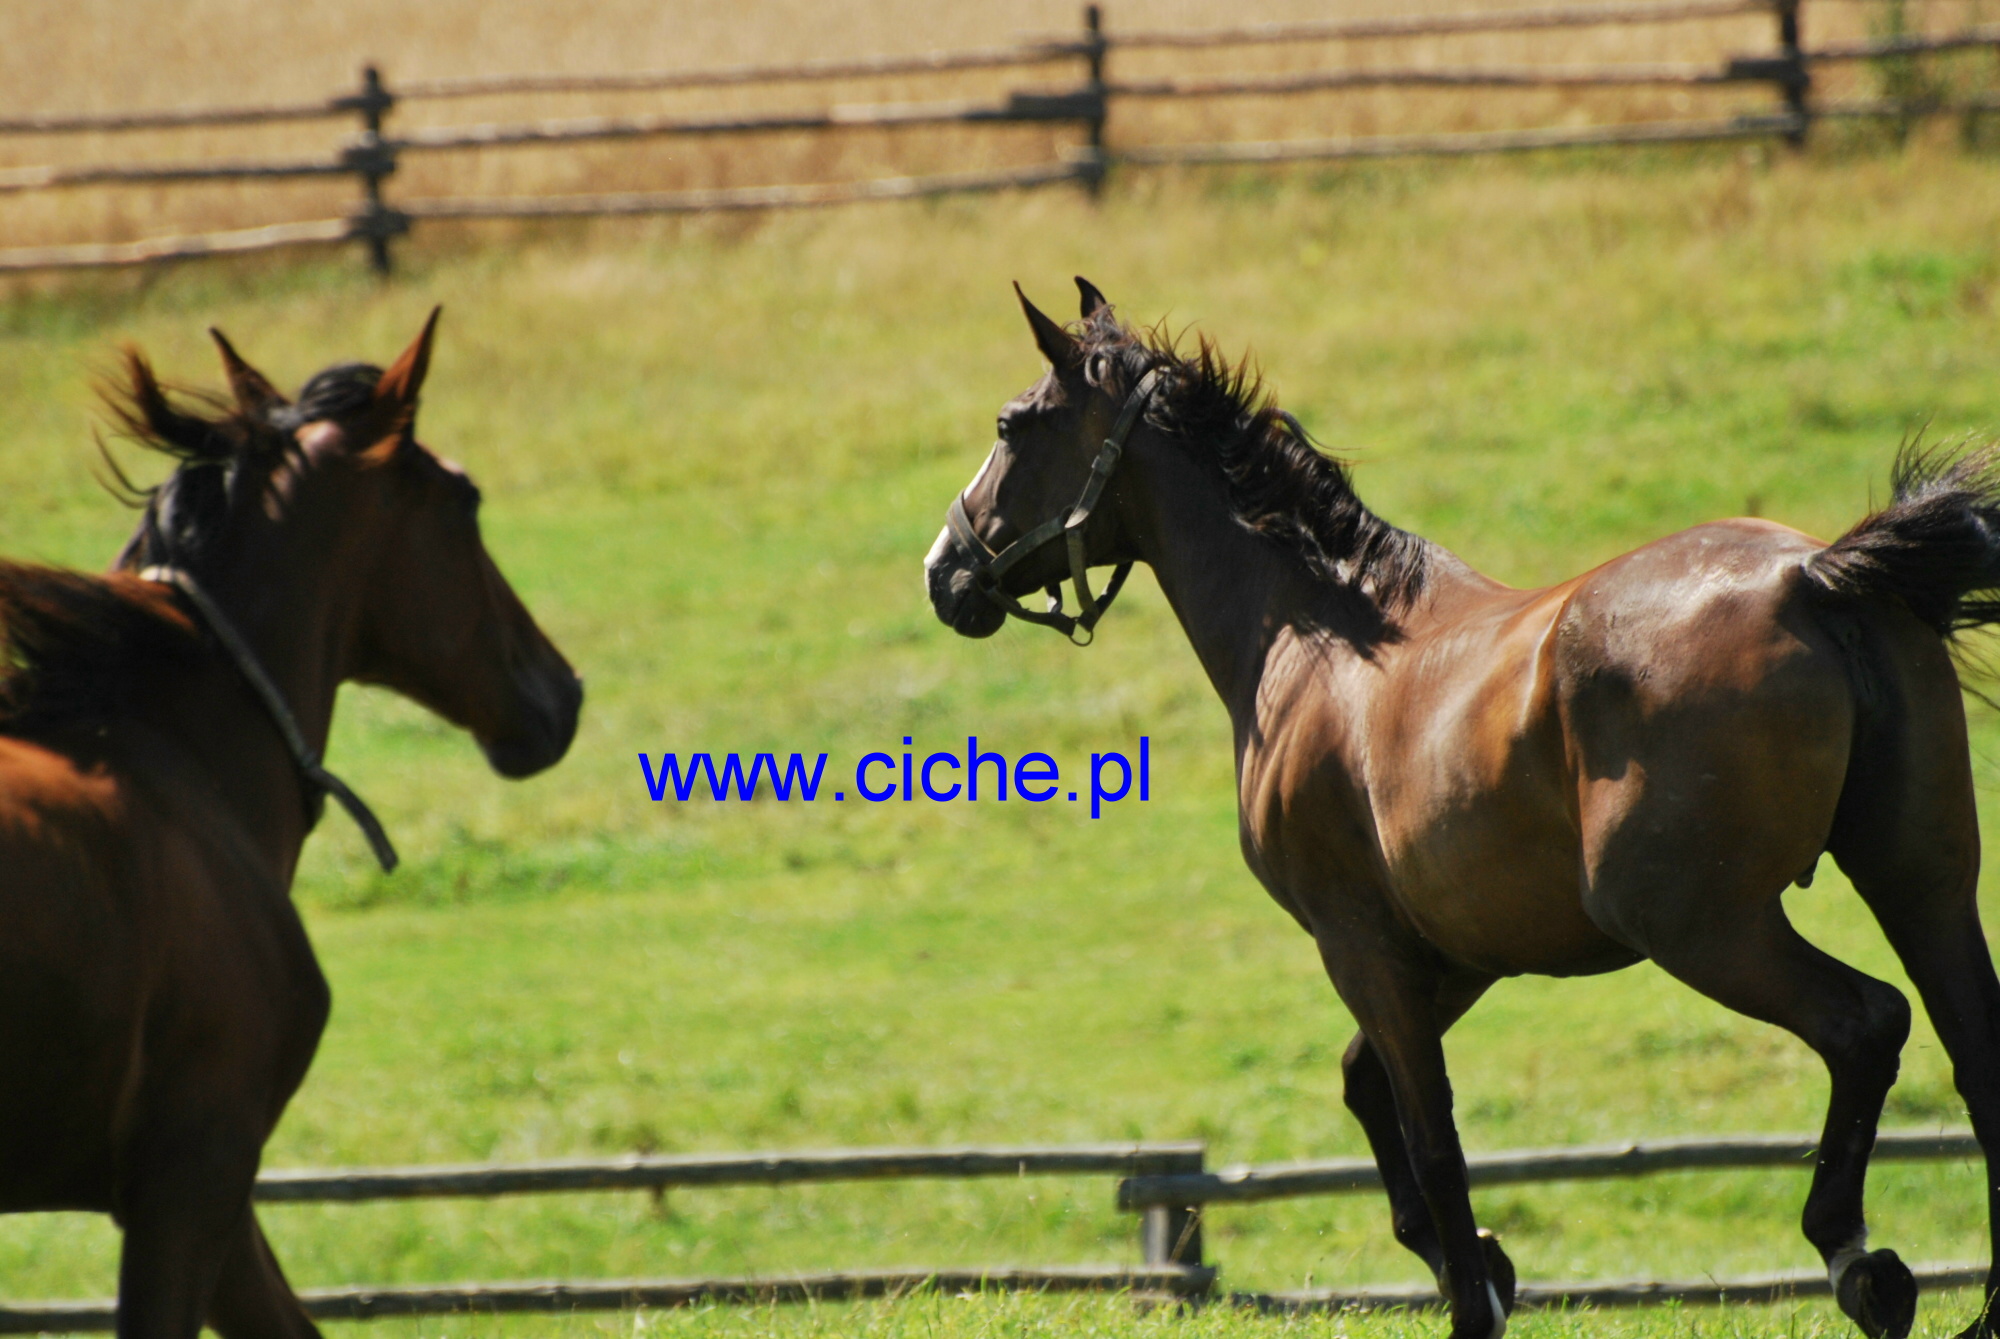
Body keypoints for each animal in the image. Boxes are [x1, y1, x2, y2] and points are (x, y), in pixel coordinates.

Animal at [924, 279, 2000, 1339]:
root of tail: (1811, 577)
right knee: (1975, 1055)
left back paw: (1859, 1263)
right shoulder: (1460, 951)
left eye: (1013, 424)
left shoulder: (1358, 943)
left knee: (1866, 1023)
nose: (945, 572)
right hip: (1920, 884)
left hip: (1701, 925)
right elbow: (1368, 1085)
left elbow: (1431, 1131)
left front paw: (1473, 1294)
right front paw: (1472, 1261)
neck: (1318, 642)